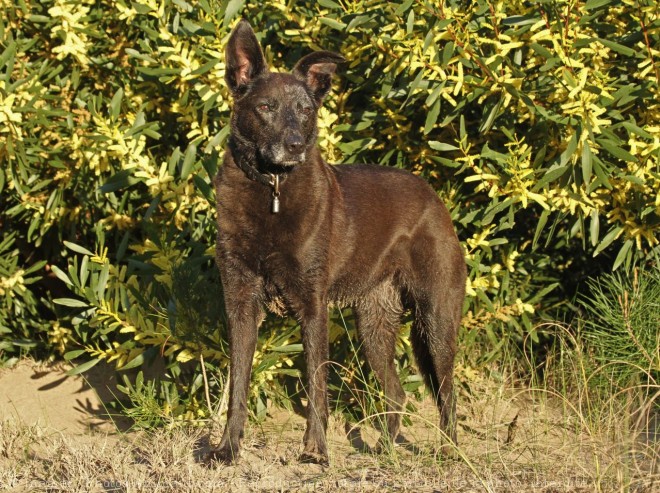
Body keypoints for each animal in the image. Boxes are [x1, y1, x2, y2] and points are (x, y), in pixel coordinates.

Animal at [209, 20, 466, 466]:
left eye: (306, 111)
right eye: (266, 108)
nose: (295, 145)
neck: (273, 188)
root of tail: (435, 200)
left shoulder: (313, 306)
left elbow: (316, 385)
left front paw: (316, 451)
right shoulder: (240, 304)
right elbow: (238, 383)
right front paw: (228, 448)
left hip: (435, 319)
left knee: (446, 392)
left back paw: (448, 453)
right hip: (374, 325)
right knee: (397, 393)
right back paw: (385, 452)